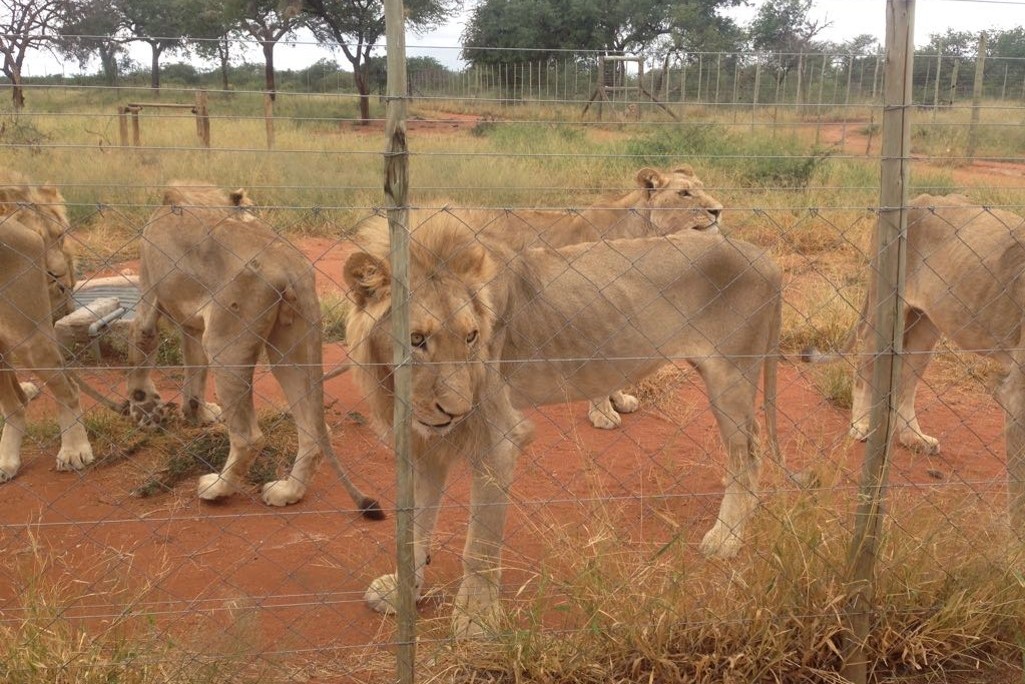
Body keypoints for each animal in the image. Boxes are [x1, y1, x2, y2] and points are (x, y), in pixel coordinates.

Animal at [0, 172, 92, 481]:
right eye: (45, 238)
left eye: (61, 235)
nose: (60, 277)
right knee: (15, 404)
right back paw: (7, 459)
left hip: (30, 338)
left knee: (68, 390)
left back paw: (74, 449)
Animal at [126, 181, 383, 518]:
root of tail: (289, 265)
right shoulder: (193, 325)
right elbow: (194, 371)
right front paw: (197, 414)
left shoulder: (148, 293)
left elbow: (142, 345)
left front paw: (143, 408)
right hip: (292, 349)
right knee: (313, 432)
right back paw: (287, 492)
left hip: (225, 343)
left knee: (248, 437)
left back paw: (217, 489)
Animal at [344, 207, 783, 635]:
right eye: (416, 340)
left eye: (471, 337)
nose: (458, 411)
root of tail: (763, 256)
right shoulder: (424, 447)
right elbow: (413, 529)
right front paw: (402, 593)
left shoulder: (499, 437)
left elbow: (479, 545)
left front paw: (475, 618)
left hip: (731, 379)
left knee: (750, 452)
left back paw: (727, 536)